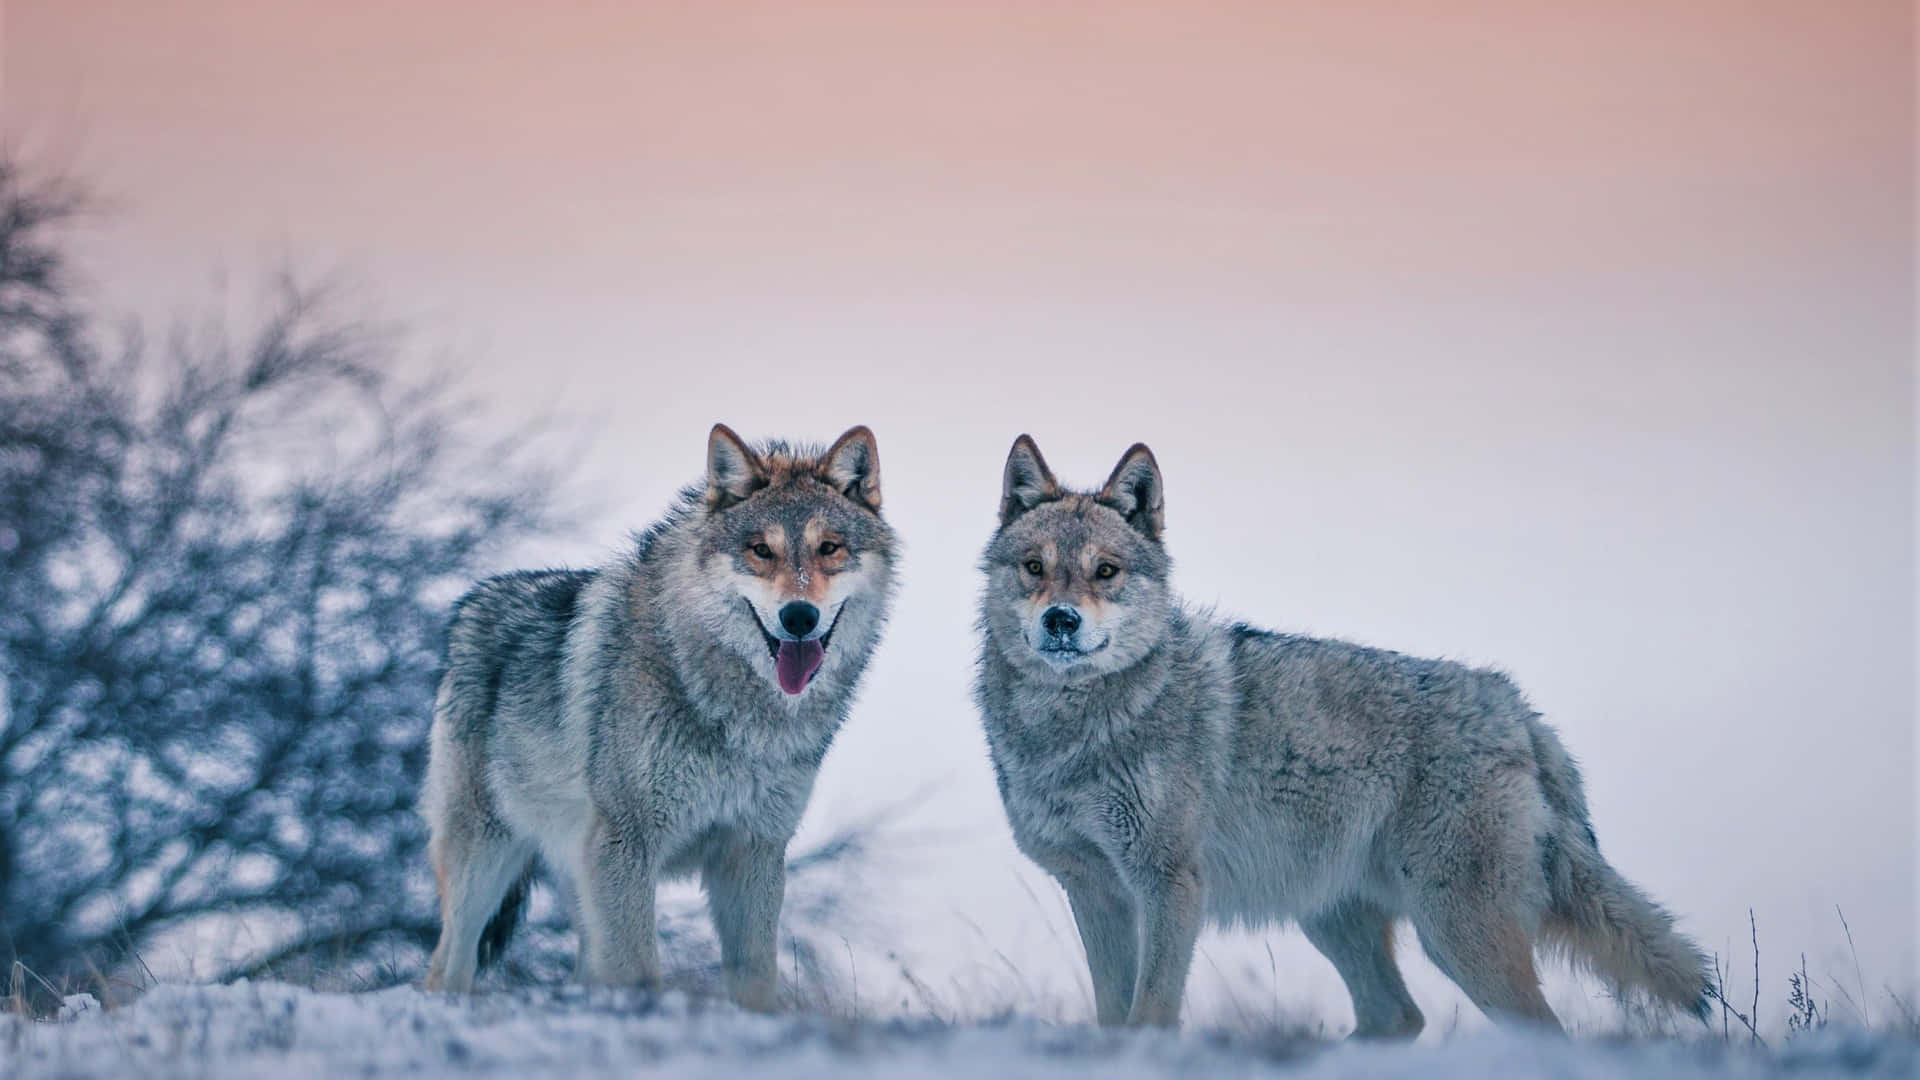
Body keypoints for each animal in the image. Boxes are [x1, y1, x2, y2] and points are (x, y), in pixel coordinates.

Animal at [422, 424, 895, 1010]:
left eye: (828, 547)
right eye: (761, 550)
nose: (799, 617)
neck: (735, 712)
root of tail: (473, 601)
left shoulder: (754, 850)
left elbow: (755, 976)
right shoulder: (628, 842)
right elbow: (640, 972)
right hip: (486, 860)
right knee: (448, 966)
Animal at [974, 435, 1710, 1034]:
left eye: (1106, 571)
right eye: (1035, 567)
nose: (1061, 621)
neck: (1069, 729)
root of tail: (1518, 708)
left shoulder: (1168, 884)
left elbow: (1149, 1013)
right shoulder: (1093, 891)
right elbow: (1111, 1014)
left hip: (1455, 933)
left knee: (1534, 1029)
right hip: (1336, 919)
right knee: (1399, 1016)